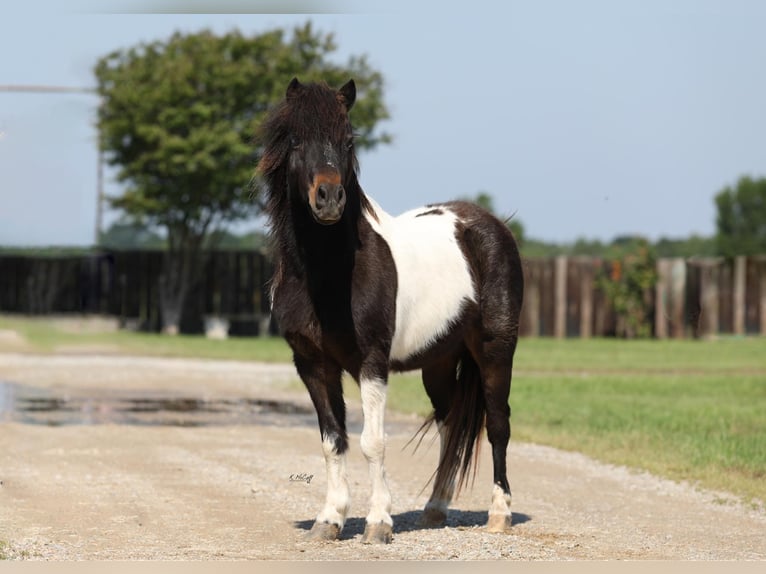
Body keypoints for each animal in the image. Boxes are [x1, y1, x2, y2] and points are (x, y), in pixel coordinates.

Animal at [260, 79, 524, 548]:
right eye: (295, 141)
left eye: (347, 141)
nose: (329, 198)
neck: (328, 273)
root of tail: (492, 226)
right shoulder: (312, 364)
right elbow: (333, 441)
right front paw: (329, 520)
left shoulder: (371, 362)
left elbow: (373, 442)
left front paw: (378, 522)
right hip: (439, 361)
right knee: (449, 424)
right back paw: (435, 508)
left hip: (495, 350)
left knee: (497, 425)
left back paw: (499, 514)